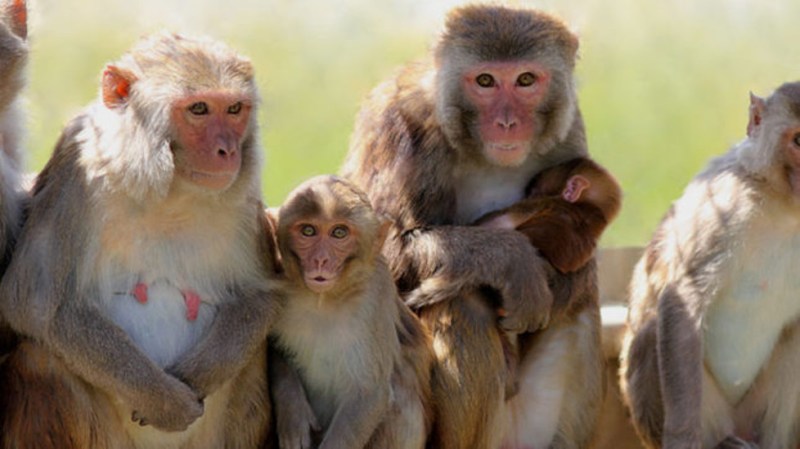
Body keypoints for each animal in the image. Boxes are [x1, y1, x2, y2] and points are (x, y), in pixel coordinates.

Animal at [0, 33, 282, 449]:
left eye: (234, 109)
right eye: (199, 109)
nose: (228, 151)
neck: (167, 190)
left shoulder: (245, 195)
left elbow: (259, 295)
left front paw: (196, 376)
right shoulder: (75, 171)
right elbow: (35, 306)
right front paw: (164, 401)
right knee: (42, 357)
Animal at [268, 175, 432, 449]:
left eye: (339, 232)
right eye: (308, 231)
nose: (321, 260)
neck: (324, 300)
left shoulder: (375, 297)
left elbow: (369, 393)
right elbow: (273, 350)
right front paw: (293, 413)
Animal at [341, 5, 607, 449]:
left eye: (525, 80)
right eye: (485, 81)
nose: (507, 122)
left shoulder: (568, 130)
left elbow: (580, 264)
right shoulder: (400, 126)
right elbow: (376, 252)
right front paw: (513, 263)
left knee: (579, 313)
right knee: (462, 303)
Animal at [619, 82, 800, 449]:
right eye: (799, 140)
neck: (785, 205)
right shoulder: (727, 204)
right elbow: (683, 300)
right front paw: (682, 438)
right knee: (653, 330)